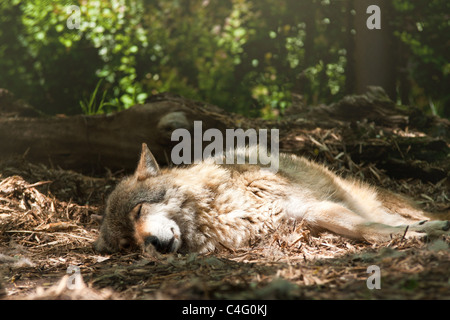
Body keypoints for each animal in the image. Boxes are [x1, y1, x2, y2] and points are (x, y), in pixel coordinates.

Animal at [93, 144, 448, 254]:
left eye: (139, 210)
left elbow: (366, 230)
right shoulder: (303, 220)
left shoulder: (310, 208)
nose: (151, 244)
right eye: (128, 244)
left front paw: (414, 236)